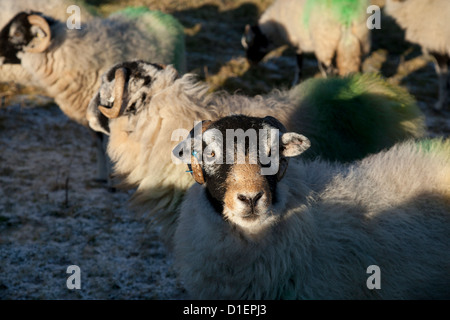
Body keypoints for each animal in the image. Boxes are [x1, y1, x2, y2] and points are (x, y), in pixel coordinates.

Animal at [241, 0, 370, 84]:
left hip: (324, 43)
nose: (249, 62)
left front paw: (295, 83)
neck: (275, 30)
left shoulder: (296, 43)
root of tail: (347, 14)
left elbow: (299, 64)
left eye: (250, 43)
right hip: (361, 37)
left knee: (328, 70)